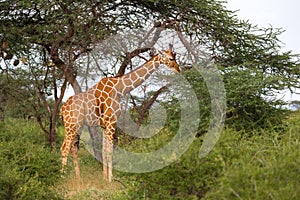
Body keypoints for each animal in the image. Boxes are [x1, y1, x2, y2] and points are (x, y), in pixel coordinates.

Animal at [59, 48, 179, 181]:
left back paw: (78, 177)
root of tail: (62, 109)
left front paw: (104, 177)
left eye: (175, 57)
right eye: (171, 59)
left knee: (73, 148)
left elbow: (104, 150)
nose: (178, 69)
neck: (120, 88)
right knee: (64, 148)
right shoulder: (112, 120)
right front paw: (110, 179)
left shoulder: (104, 124)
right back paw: (62, 177)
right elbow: (110, 151)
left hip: (76, 126)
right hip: (71, 125)